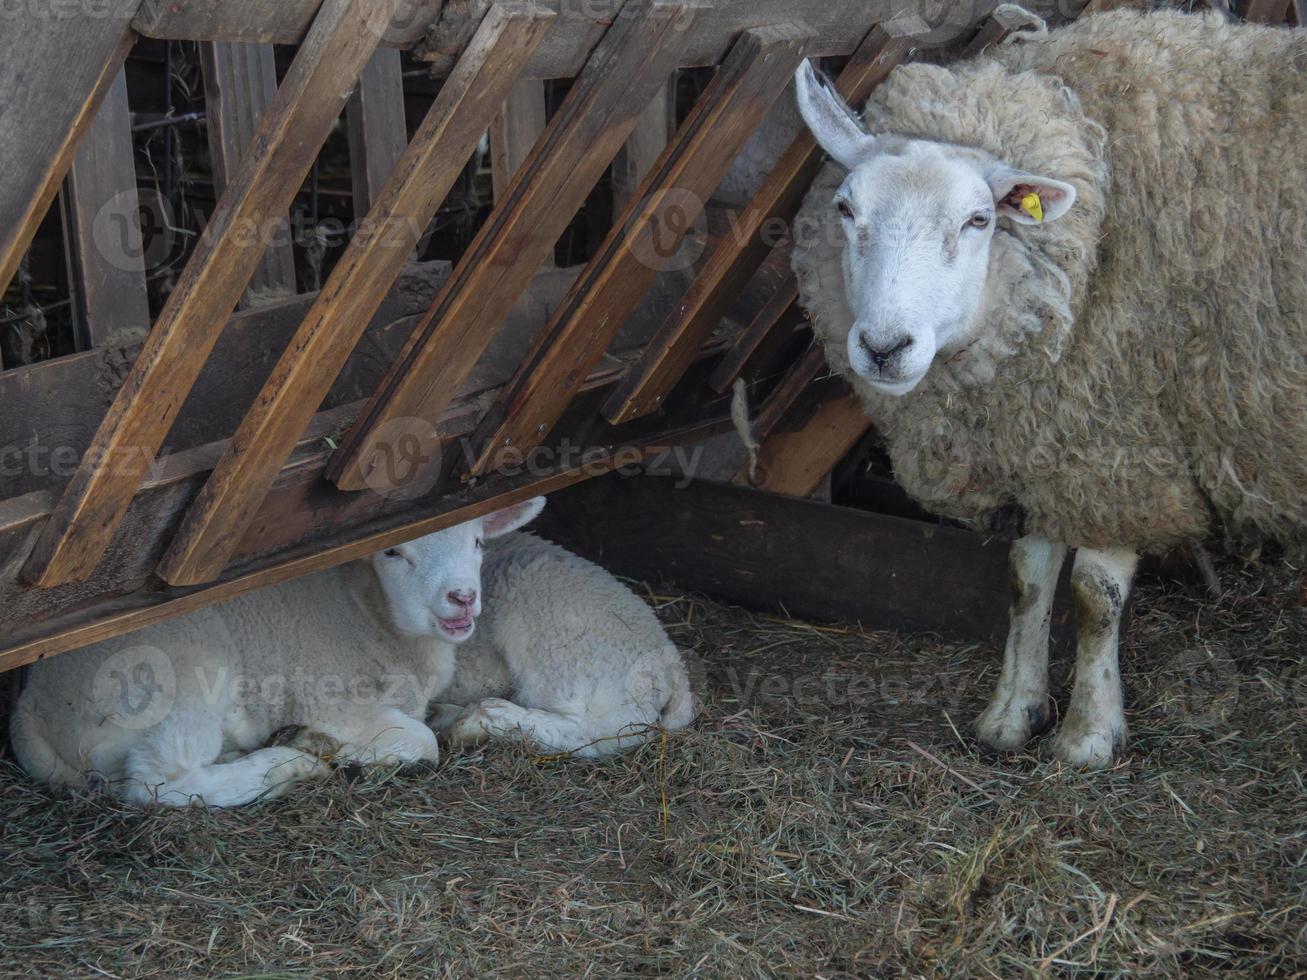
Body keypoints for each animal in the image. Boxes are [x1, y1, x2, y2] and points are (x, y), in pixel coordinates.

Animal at [784, 11, 1307, 773]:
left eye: (978, 220)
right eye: (847, 208)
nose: (883, 348)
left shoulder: (1116, 441)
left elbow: (1093, 594)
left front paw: (1088, 735)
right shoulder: (1040, 434)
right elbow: (1026, 576)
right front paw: (1012, 713)